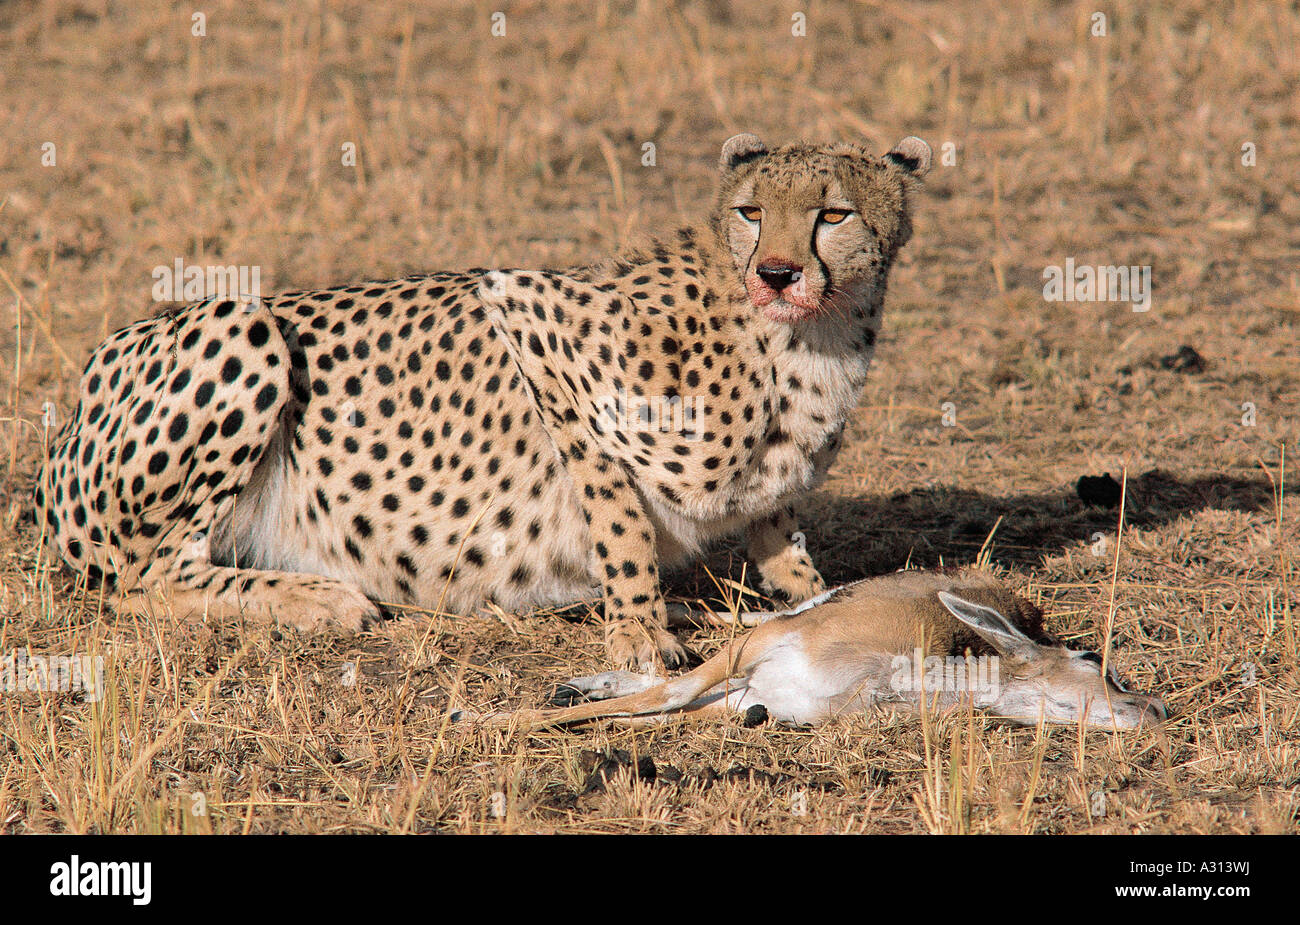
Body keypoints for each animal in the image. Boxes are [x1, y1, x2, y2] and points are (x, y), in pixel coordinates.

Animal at [35, 132, 931, 669]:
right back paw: (317, 597)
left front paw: (815, 599)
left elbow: (785, 538)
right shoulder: (534, 320)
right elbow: (619, 518)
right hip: (242, 324)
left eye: (833, 213)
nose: (776, 272)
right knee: (146, 578)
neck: (808, 341)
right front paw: (640, 633)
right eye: (751, 211)